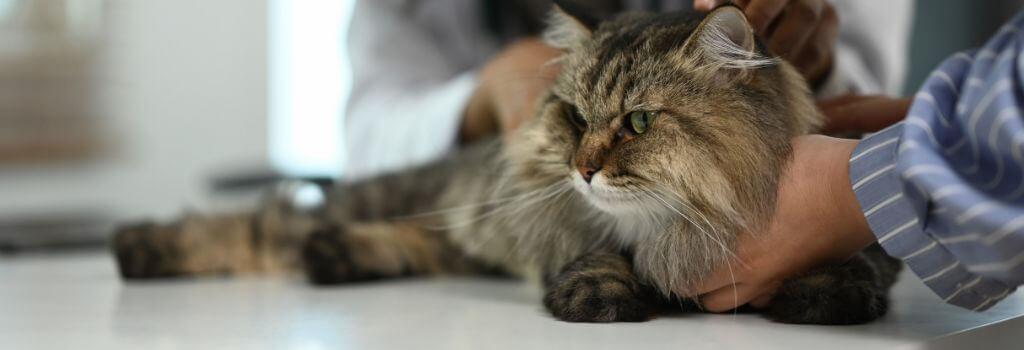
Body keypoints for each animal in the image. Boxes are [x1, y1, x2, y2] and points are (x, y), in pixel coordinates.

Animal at [112, 4, 901, 323]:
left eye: (639, 123)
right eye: (576, 118)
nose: (584, 168)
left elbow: (856, 266)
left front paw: (817, 292)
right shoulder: (574, 235)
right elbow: (596, 261)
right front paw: (605, 298)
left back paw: (335, 257)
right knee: (260, 225)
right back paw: (138, 247)